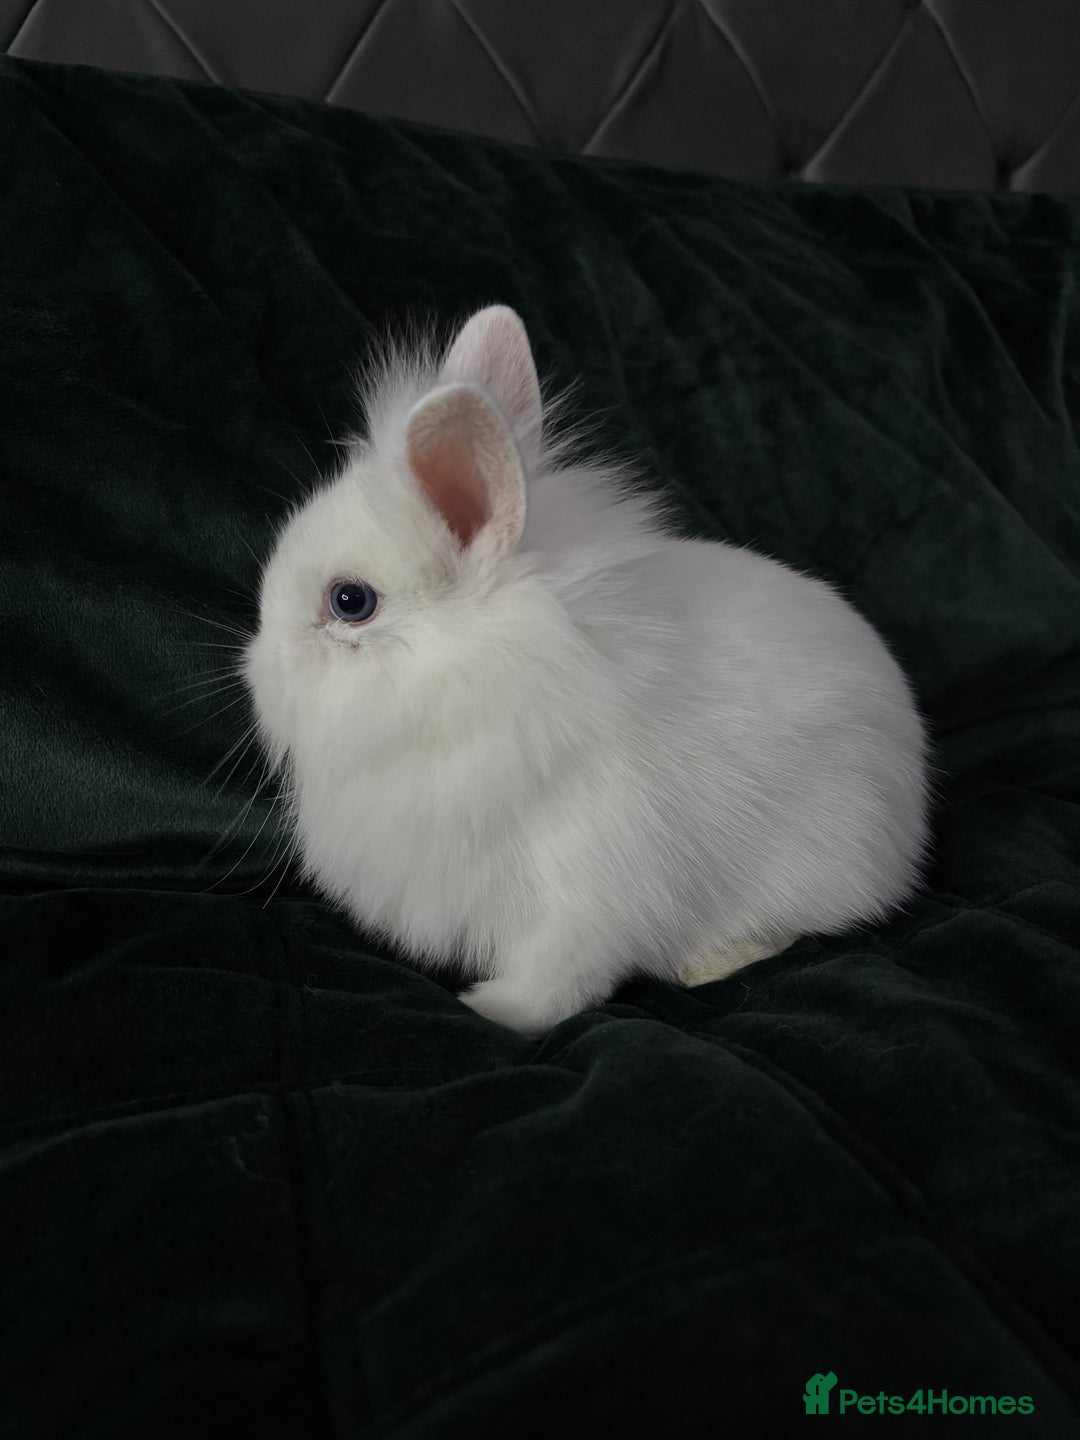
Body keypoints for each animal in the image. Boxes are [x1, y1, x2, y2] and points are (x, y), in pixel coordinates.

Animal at [242, 304, 931, 1036]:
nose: (256, 670)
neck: (491, 681)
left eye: (350, 601)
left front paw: (492, 1010)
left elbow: (561, 975)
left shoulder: (588, 888)